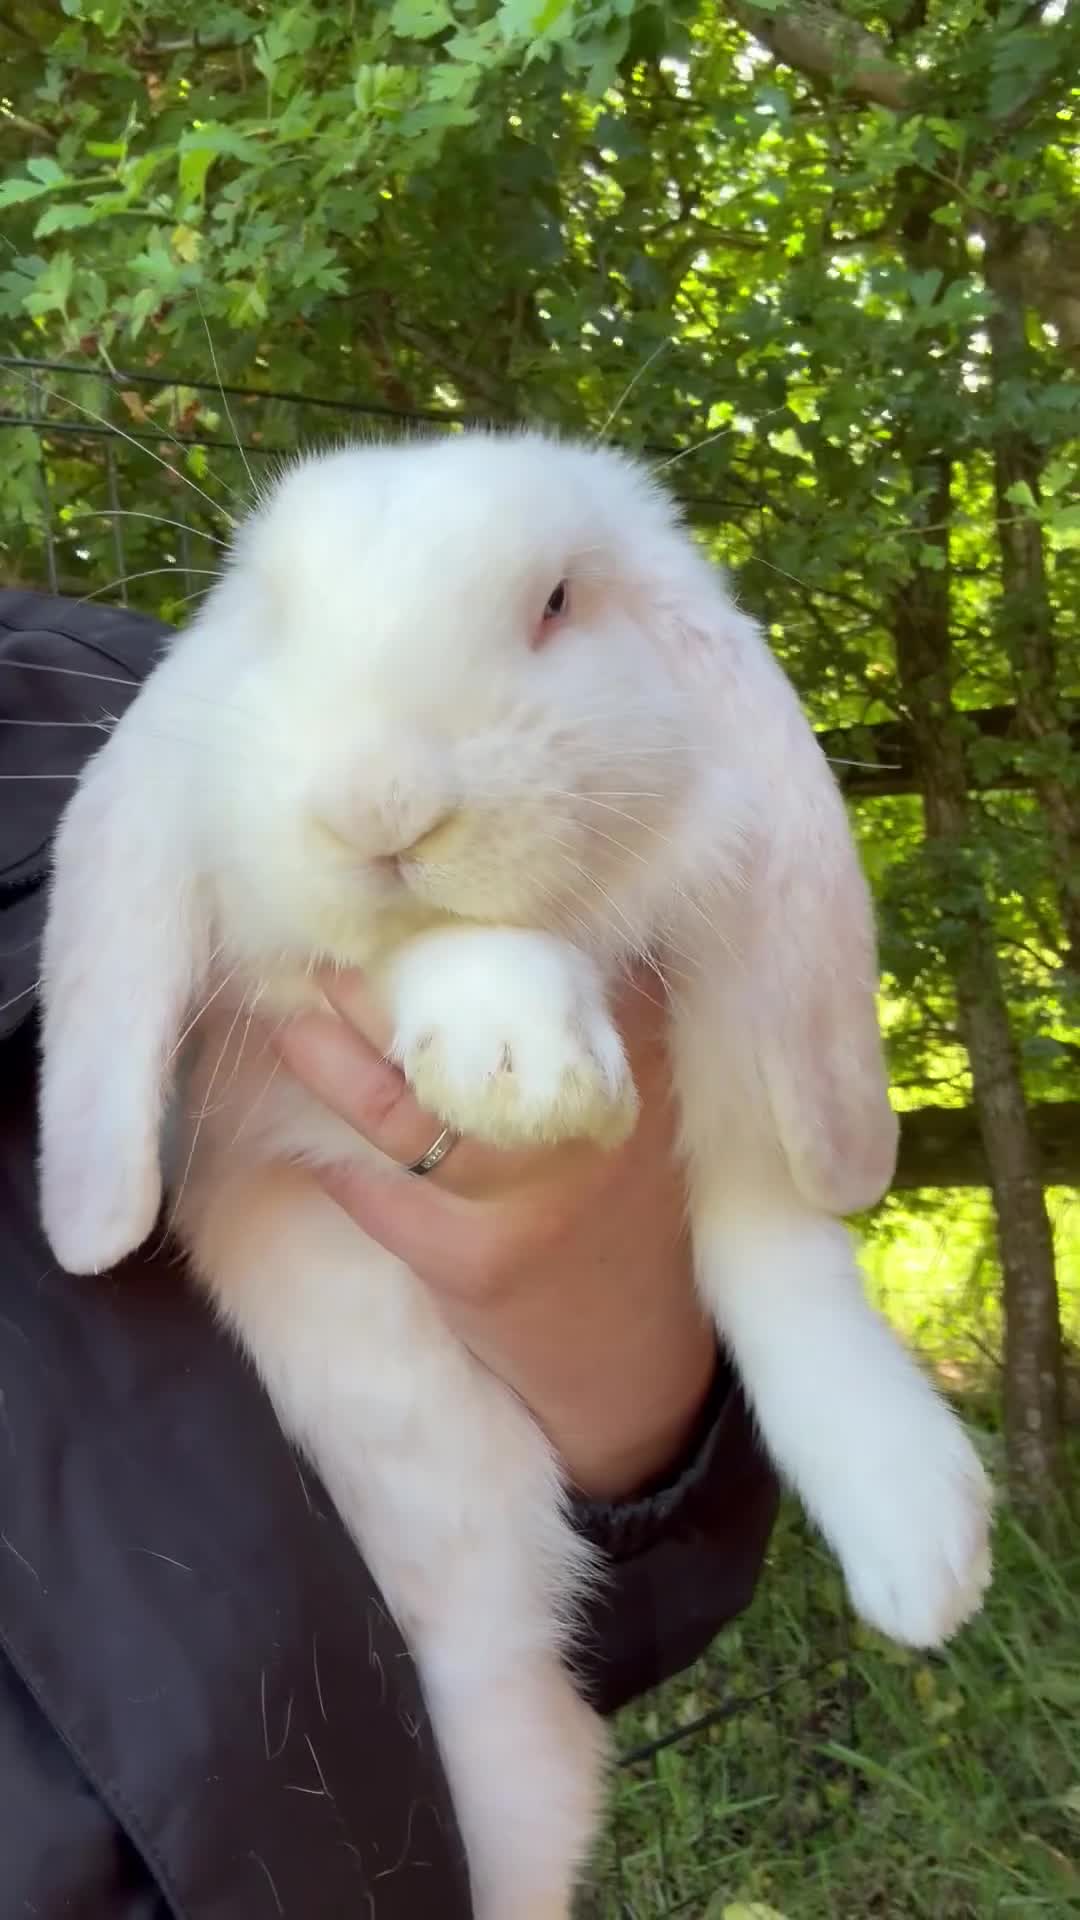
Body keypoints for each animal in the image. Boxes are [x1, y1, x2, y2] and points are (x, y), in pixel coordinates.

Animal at [37, 427, 992, 1920]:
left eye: (555, 604)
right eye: (273, 619)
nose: (376, 803)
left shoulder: (732, 1082)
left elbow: (773, 1246)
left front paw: (927, 1551)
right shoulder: (273, 1015)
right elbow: (396, 954)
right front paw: (524, 1055)